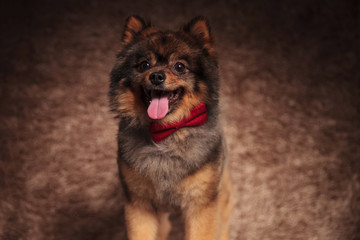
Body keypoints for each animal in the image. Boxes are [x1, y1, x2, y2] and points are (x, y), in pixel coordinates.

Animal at [109, 15, 233, 240]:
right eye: (144, 64)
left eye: (180, 66)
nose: (156, 76)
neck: (166, 133)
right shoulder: (139, 204)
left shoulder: (201, 204)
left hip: (224, 195)